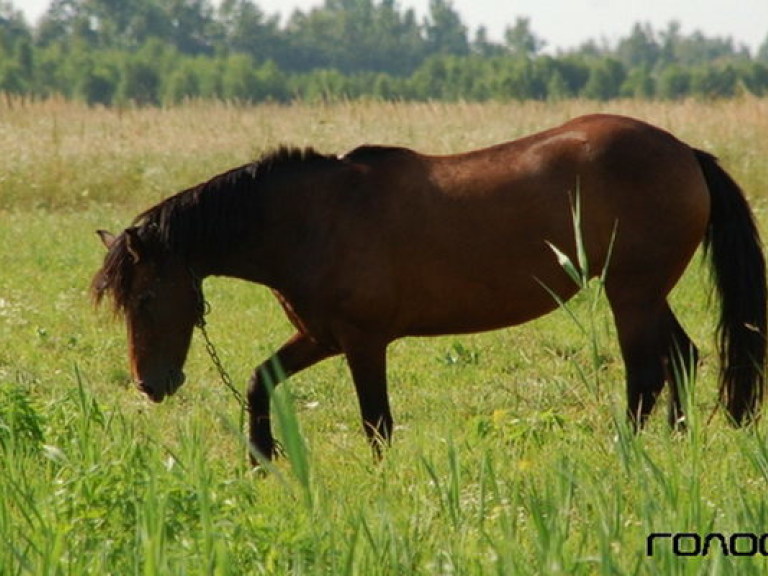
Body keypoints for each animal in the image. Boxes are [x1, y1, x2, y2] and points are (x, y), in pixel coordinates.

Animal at [93, 115, 764, 462]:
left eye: (146, 299)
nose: (150, 386)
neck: (314, 216)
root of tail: (684, 151)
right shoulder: (321, 336)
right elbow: (261, 381)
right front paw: (264, 458)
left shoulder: (363, 343)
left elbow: (376, 422)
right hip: (645, 292)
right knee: (682, 357)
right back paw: (678, 445)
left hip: (631, 292)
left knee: (645, 374)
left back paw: (627, 450)